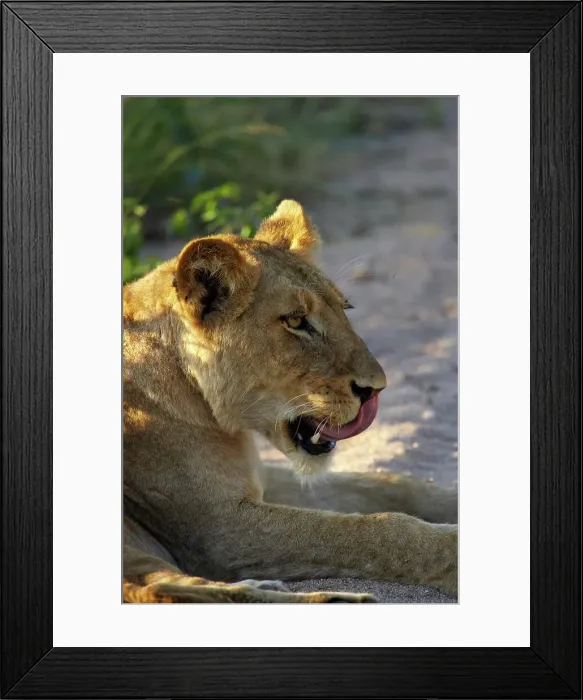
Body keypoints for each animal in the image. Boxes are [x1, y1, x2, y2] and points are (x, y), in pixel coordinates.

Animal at [123, 200, 457, 603]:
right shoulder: (220, 530)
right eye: (297, 322)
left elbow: (387, 485)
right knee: (159, 590)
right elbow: (374, 531)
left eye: (344, 309)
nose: (376, 388)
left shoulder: (261, 479)